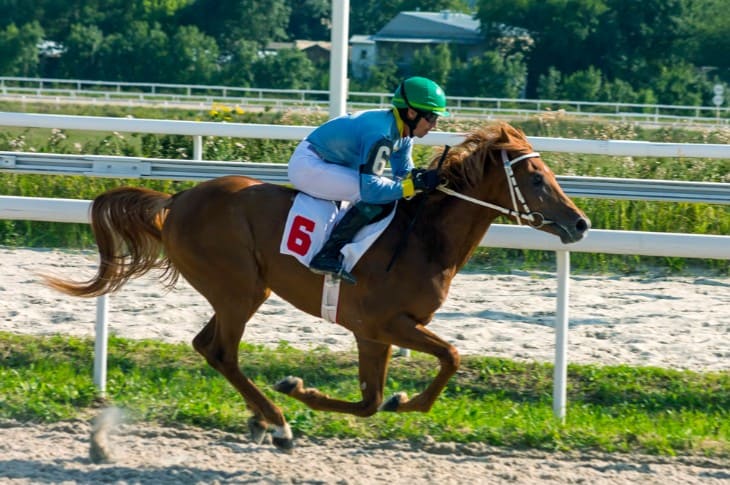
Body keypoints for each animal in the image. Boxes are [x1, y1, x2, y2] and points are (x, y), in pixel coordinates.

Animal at [45, 122, 588, 450]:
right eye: (536, 179)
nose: (580, 223)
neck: (423, 237)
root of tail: (176, 200)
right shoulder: (386, 323)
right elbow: (450, 356)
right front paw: (387, 400)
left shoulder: (373, 332)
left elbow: (371, 401)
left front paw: (382, 399)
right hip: (240, 290)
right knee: (221, 351)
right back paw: (278, 422)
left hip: (241, 290)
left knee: (206, 345)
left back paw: (263, 418)